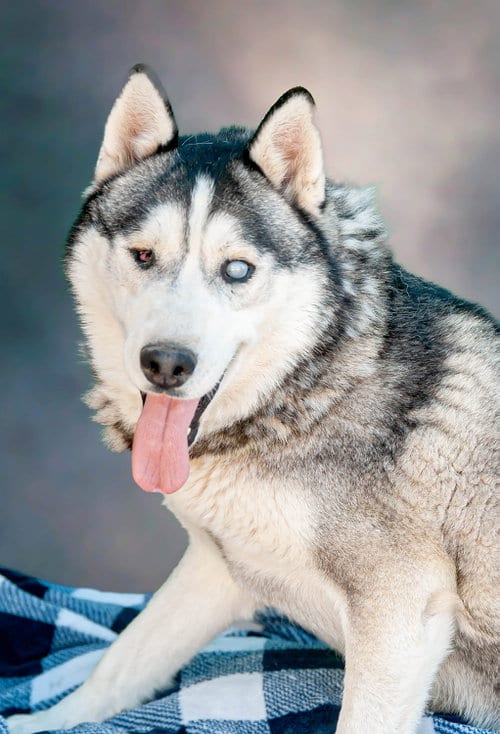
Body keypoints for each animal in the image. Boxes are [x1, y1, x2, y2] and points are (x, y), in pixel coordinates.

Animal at [8, 65, 499, 734]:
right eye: (143, 255)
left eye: (236, 270)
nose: (166, 363)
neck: (307, 394)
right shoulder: (217, 567)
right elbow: (122, 659)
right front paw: (46, 721)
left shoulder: (400, 612)